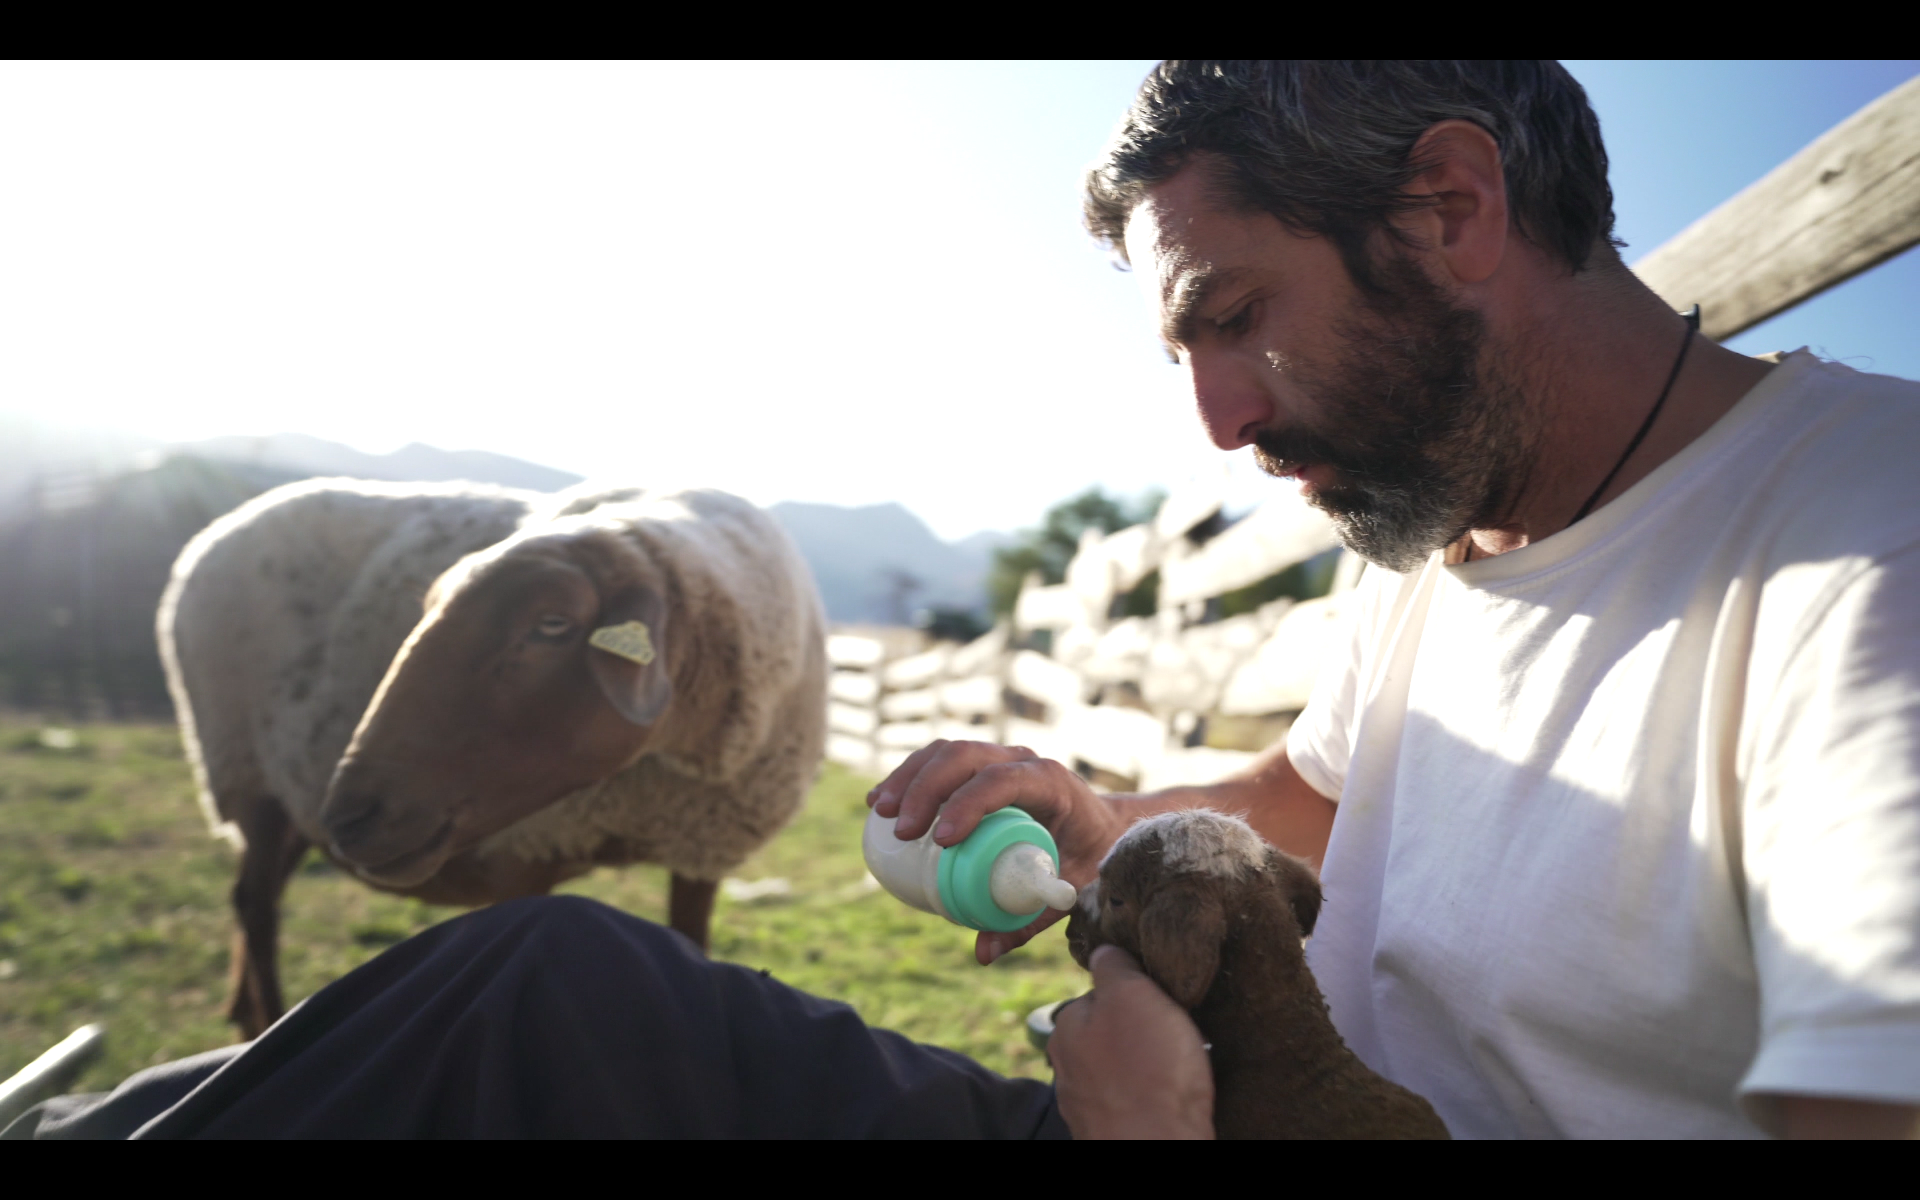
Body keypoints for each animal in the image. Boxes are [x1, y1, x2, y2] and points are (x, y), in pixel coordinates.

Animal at [155, 472, 825, 1036]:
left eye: (552, 624)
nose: (349, 817)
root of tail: (210, 538)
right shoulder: (526, 854)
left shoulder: (700, 846)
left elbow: (691, 939)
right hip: (245, 772)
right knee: (256, 906)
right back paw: (261, 1021)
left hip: (283, 791)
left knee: (250, 894)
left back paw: (243, 1010)